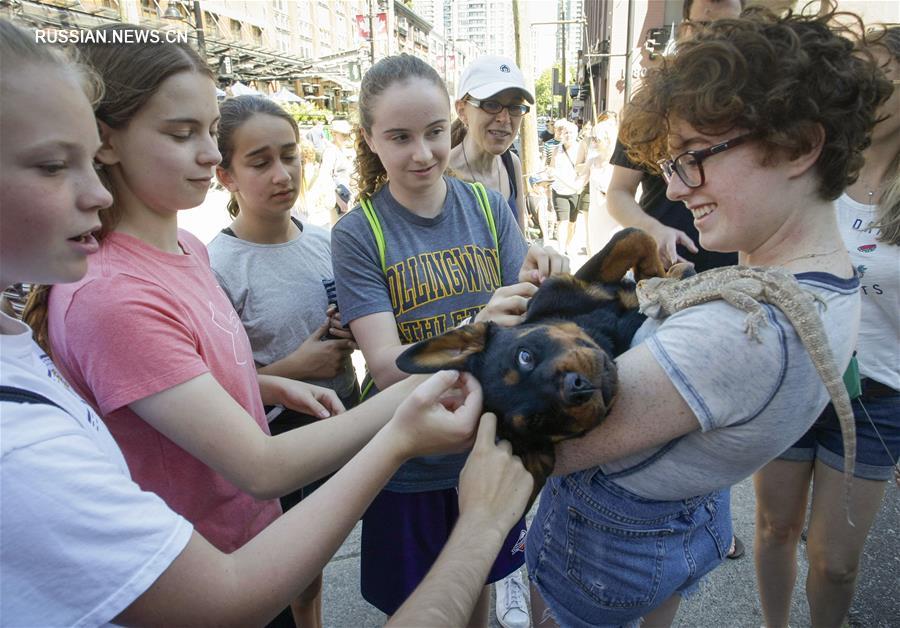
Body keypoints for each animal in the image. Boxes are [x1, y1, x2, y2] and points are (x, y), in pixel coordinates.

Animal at [398, 227, 692, 506]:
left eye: (524, 357)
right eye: (537, 420)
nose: (577, 387)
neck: (605, 334)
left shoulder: (562, 285)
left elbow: (633, 237)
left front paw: (662, 277)